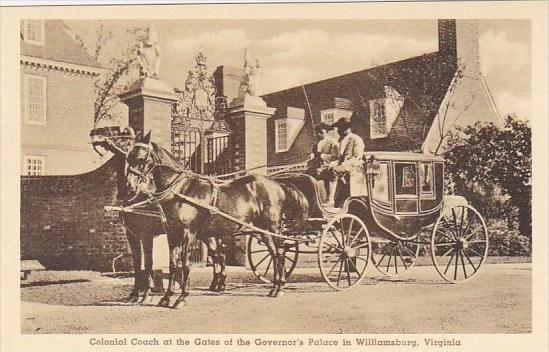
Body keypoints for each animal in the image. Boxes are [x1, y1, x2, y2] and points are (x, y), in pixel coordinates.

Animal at [123, 132, 308, 308]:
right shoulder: (172, 234)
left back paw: (278, 287)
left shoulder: (187, 234)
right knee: (273, 253)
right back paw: (275, 286)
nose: (129, 186)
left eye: (142, 159)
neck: (182, 190)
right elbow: (173, 264)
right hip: (258, 231)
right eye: (128, 157)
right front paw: (166, 298)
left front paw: (181, 298)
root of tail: (277, 183)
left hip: (271, 228)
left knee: (279, 253)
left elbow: (185, 264)